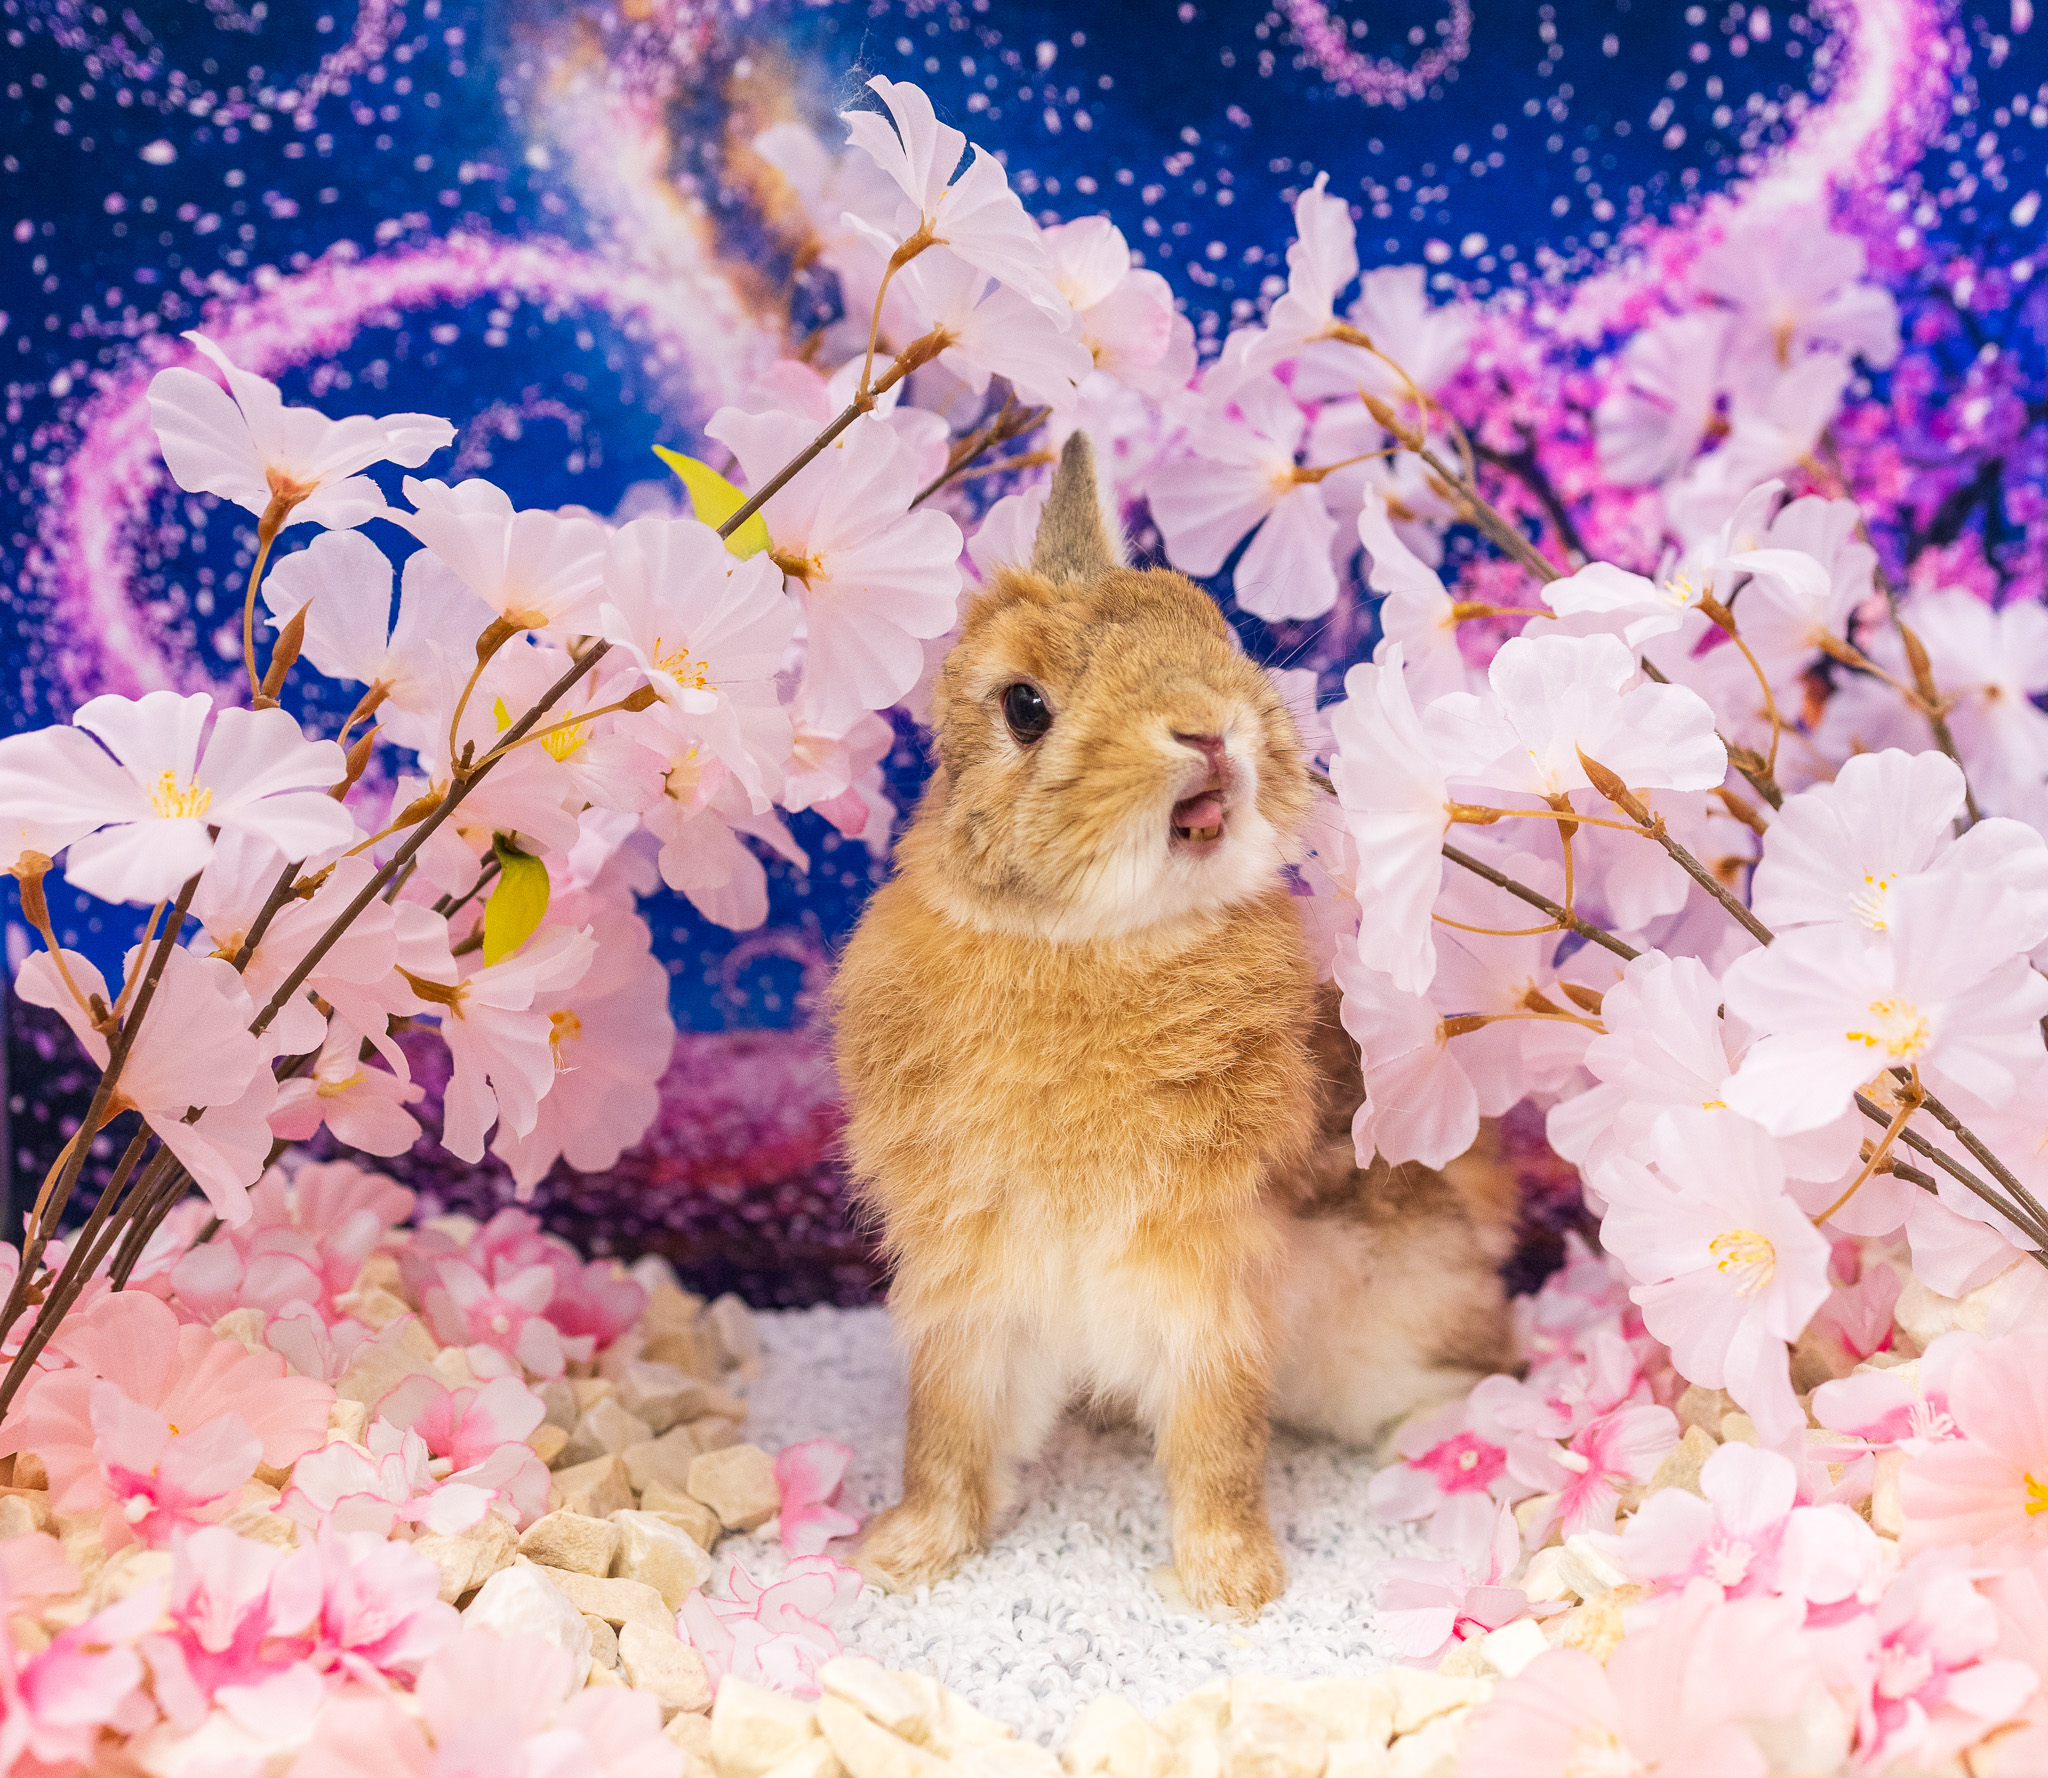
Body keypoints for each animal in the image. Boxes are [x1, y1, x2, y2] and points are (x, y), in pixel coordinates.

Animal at [831, 431, 1514, 1618]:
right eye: (1024, 706)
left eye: (1208, 630)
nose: (1208, 726)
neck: (1086, 939)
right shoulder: (968, 1279)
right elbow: (948, 1429)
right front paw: (904, 1555)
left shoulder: (1205, 1276)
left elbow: (1214, 1437)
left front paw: (1229, 1583)